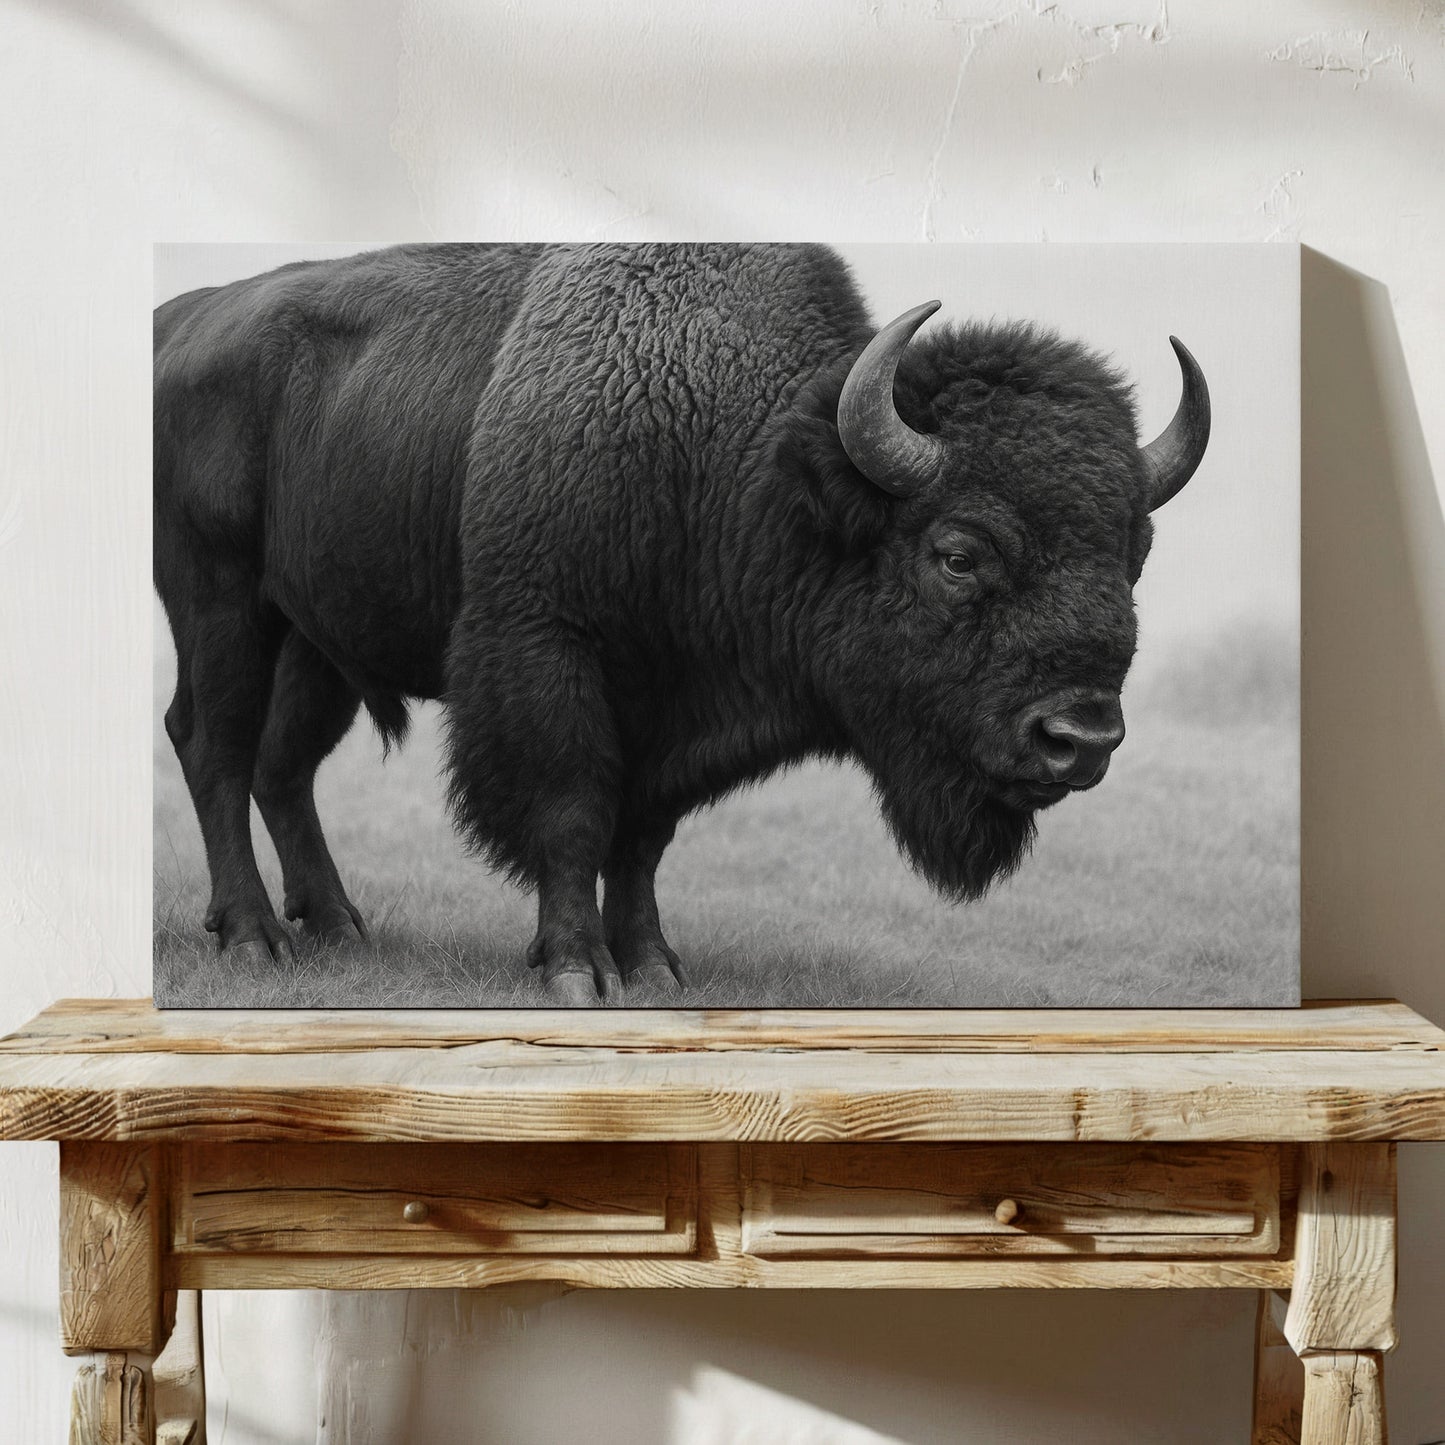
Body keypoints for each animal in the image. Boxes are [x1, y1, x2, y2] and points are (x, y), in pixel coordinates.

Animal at [154, 242, 1209, 1004]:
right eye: (957, 553)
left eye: (1134, 553)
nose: (1080, 737)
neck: (738, 456)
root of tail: (177, 322)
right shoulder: (550, 654)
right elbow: (574, 813)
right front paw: (576, 970)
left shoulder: (670, 717)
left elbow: (641, 835)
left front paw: (653, 964)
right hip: (220, 603)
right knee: (215, 748)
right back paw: (253, 938)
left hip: (314, 641)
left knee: (282, 766)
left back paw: (338, 925)